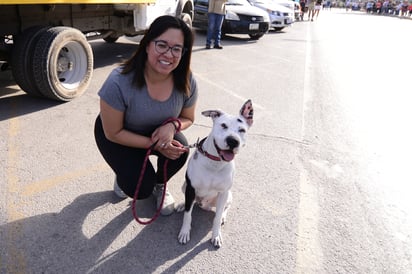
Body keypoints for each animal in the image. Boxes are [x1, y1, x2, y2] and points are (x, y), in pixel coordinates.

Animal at [178, 99, 254, 247]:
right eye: (223, 125)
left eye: (242, 130)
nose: (233, 141)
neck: (215, 164)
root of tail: (203, 204)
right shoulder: (190, 188)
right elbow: (187, 214)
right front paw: (184, 232)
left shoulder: (223, 192)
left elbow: (217, 217)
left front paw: (216, 235)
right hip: (184, 186)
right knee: (189, 203)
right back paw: (182, 205)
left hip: (228, 195)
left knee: (225, 208)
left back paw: (223, 216)